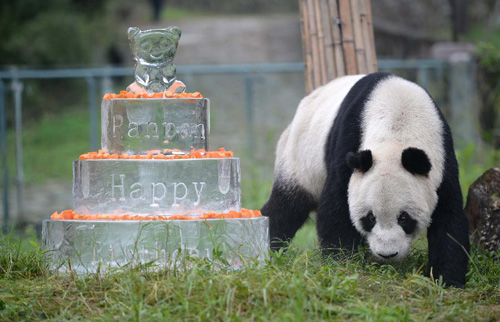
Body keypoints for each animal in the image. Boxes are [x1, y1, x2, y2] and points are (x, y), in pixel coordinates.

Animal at [264, 72, 470, 286]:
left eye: (404, 217)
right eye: (370, 217)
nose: (387, 254)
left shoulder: (443, 161)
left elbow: (449, 219)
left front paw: (447, 280)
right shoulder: (349, 142)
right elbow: (336, 205)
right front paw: (341, 264)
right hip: (300, 157)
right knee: (287, 207)